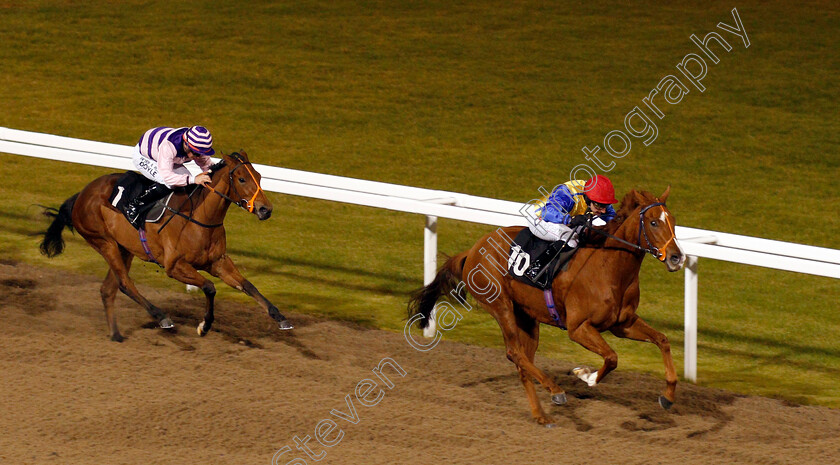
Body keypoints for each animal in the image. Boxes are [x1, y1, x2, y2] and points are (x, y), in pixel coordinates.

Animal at [41, 150, 294, 338]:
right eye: (241, 179)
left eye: (259, 176)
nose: (265, 209)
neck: (199, 217)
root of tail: (81, 195)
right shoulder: (175, 266)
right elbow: (210, 287)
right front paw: (204, 326)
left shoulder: (218, 262)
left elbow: (248, 285)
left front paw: (281, 318)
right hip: (105, 243)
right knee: (125, 284)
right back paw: (162, 317)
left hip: (125, 248)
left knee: (108, 289)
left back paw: (116, 334)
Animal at [406, 187, 684, 426]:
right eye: (653, 222)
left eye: (672, 220)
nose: (676, 257)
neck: (609, 267)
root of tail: (473, 250)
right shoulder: (578, 328)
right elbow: (612, 358)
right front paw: (586, 375)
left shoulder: (622, 324)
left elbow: (663, 340)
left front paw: (668, 396)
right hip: (500, 305)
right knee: (515, 353)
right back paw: (555, 390)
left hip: (527, 318)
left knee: (523, 362)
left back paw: (540, 413)